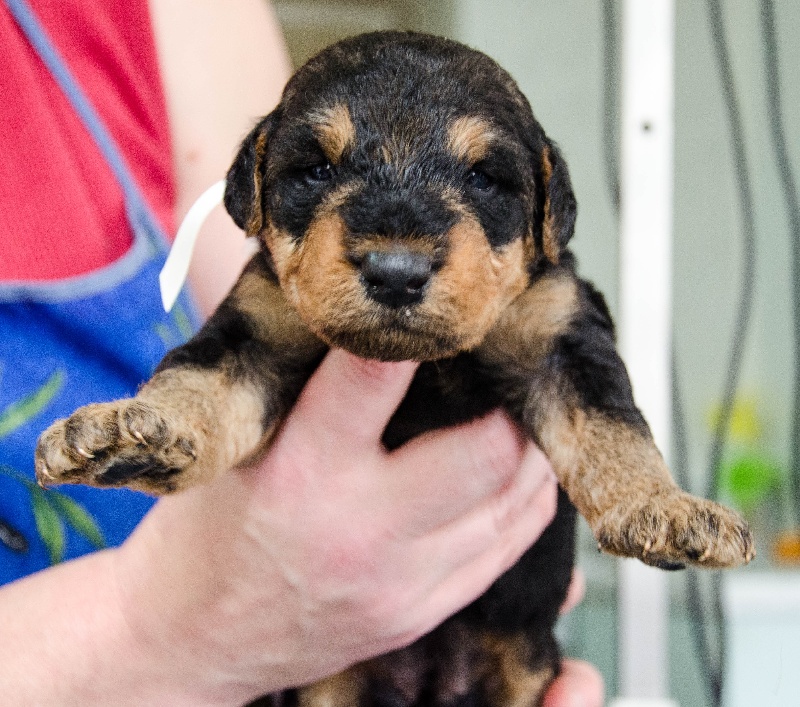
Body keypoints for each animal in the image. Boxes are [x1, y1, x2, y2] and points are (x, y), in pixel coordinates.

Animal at [35, 31, 754, 707]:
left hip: (525, 665)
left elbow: (611, 426)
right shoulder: (257, 326)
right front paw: (131, 432)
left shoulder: (562, 336)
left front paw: (664, 509)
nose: (396, 272)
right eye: (316, 169)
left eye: (484, 178)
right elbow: (201, 380)